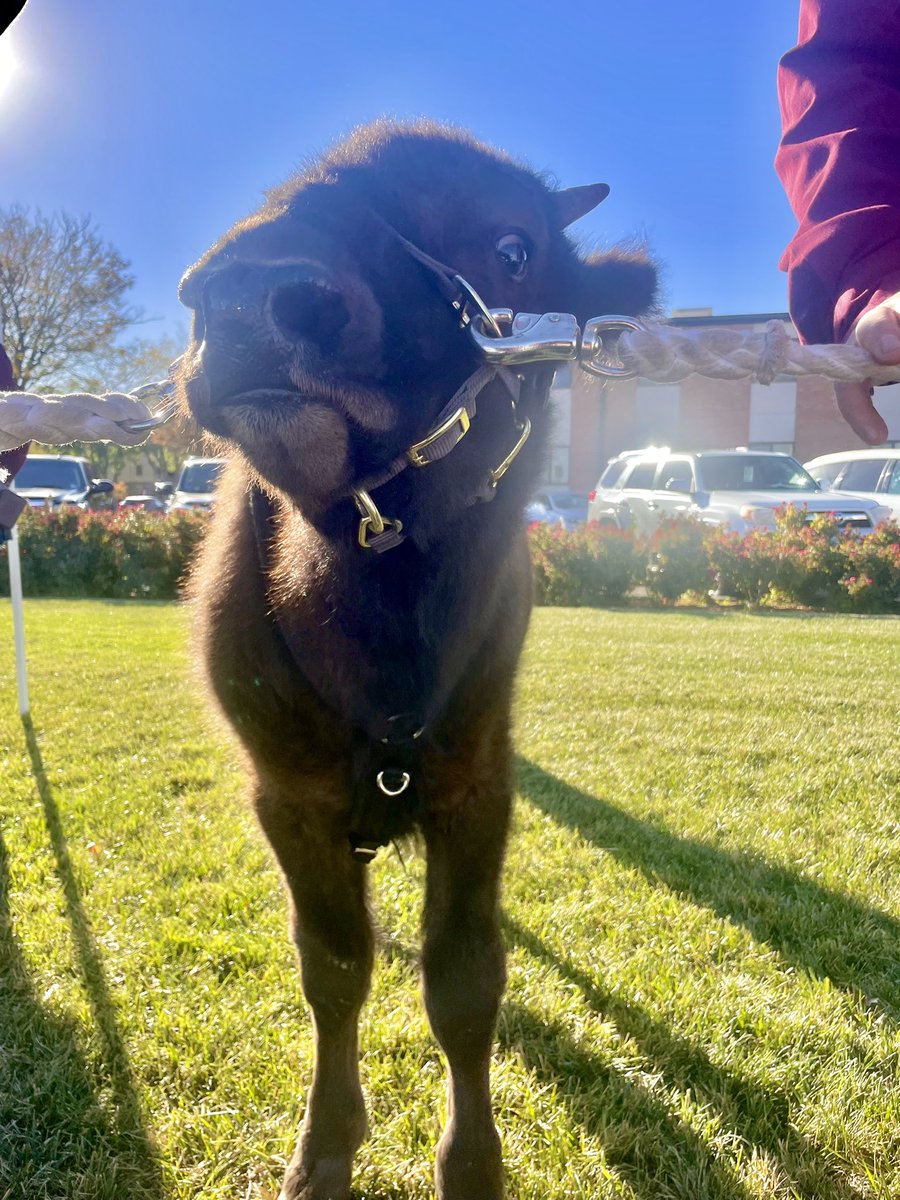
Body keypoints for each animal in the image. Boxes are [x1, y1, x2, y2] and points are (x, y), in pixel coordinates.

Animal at [177, 119, 656, 1200]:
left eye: (514, 245)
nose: (246, 299)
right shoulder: (290, 801)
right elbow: (335, 969)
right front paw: (322, 1152)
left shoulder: (479, 788)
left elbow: (466, 980)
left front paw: (472, 1164)